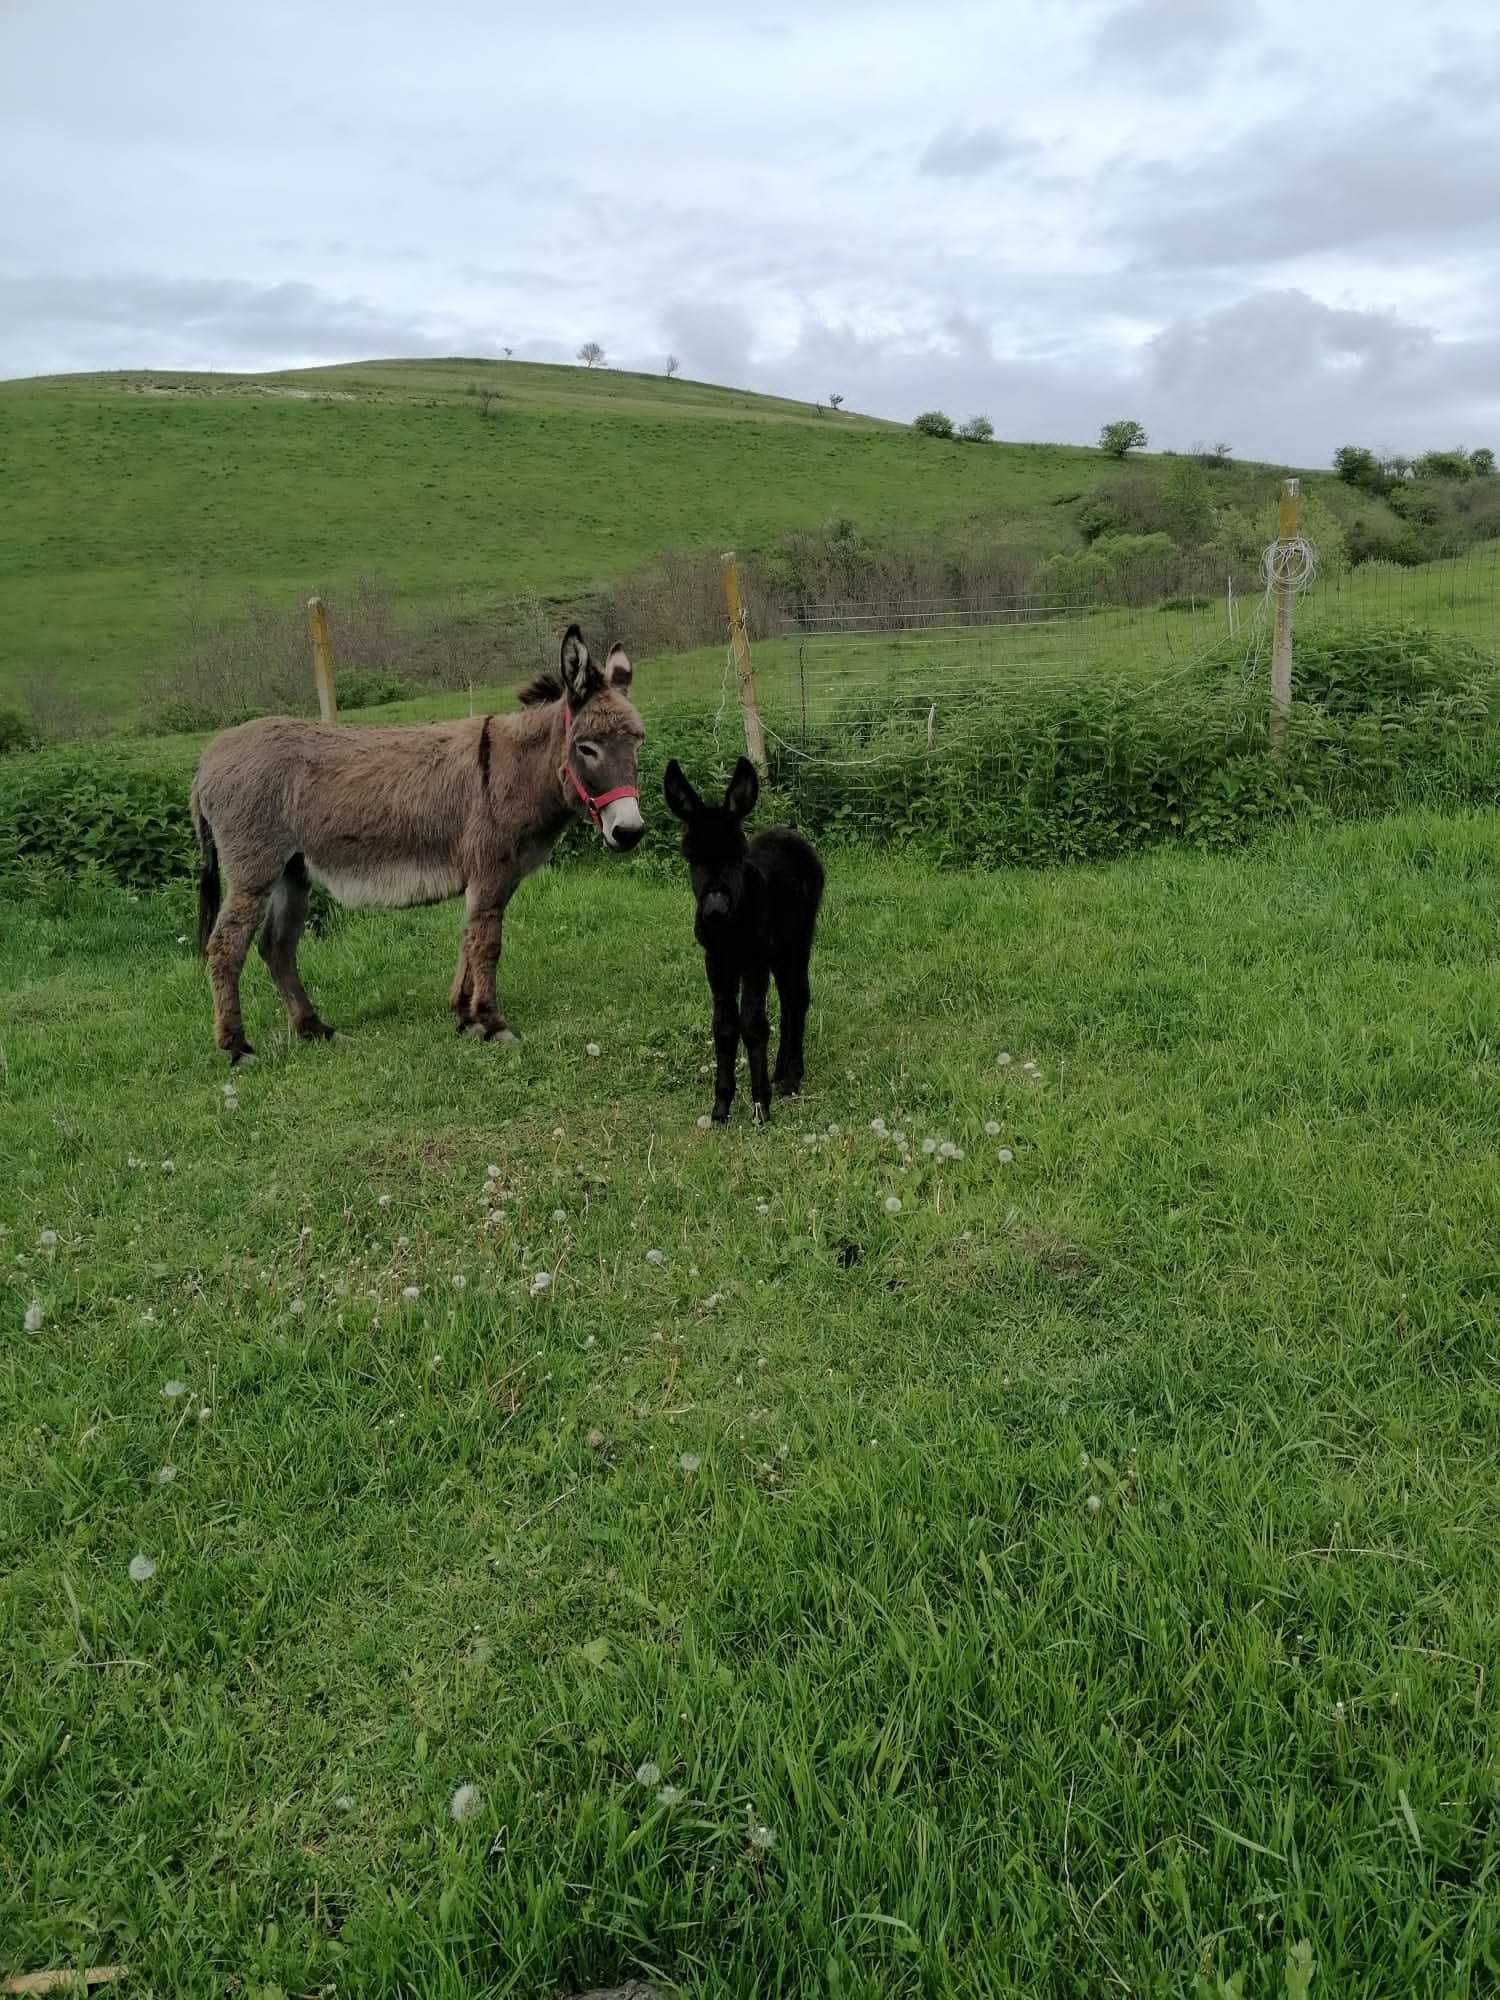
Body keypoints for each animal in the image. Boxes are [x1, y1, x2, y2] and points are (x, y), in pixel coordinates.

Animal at [668, 752, 828, 1128]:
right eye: (691, 857)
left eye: (736, 856)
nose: (715, 906)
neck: (729, 932)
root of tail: (789, 834)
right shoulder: (717, 960)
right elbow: (724, 1026)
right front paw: (721, 1109)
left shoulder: (754, 958)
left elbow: (753, 1025)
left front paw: (760, 1108)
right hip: (778, 951)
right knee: (788, 999)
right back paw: (781, 1073)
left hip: (798, 938)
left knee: (798, 996)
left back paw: (791, 1078)